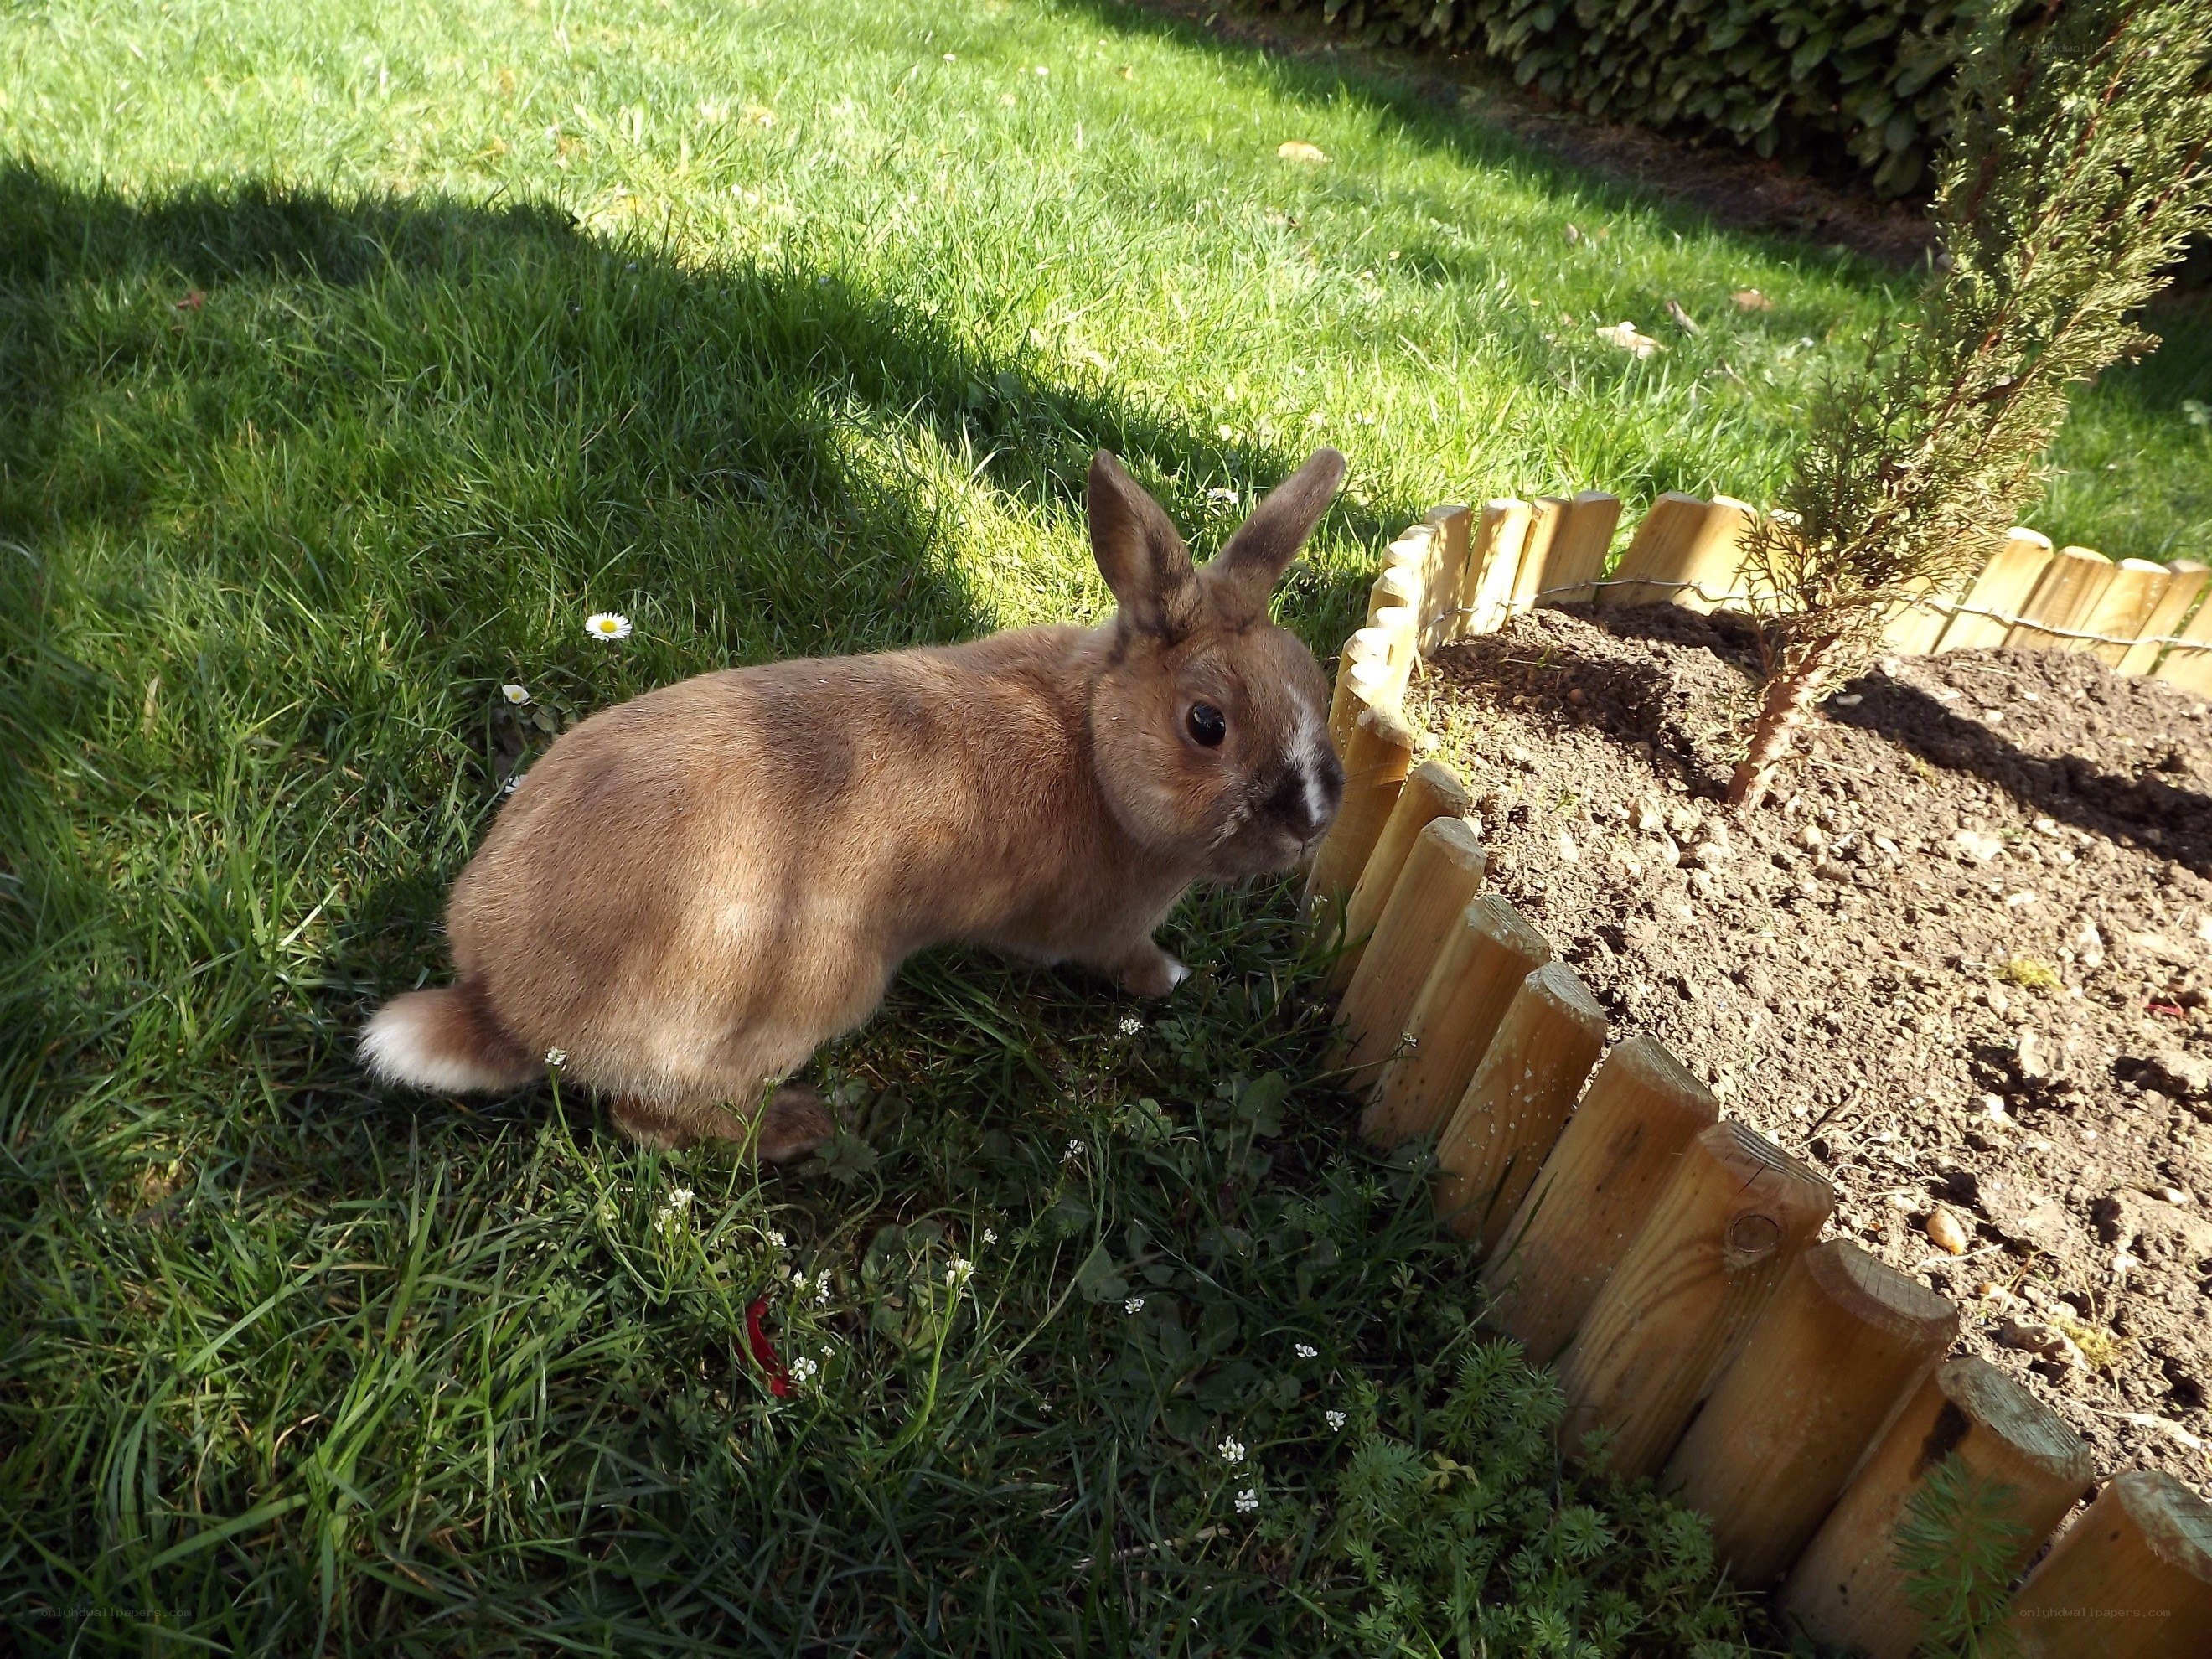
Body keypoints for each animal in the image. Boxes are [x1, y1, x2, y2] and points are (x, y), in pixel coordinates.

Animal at [360, 447, 1347, 1155]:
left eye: (1313, 678)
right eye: (1207, 725)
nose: (1313, 825)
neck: (1096, 742)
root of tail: (501, 1003)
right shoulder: (1103, 929)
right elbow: (1124, 958)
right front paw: (1169, 977)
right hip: (811, 991)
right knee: (652, 1120)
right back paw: (801, 1130)